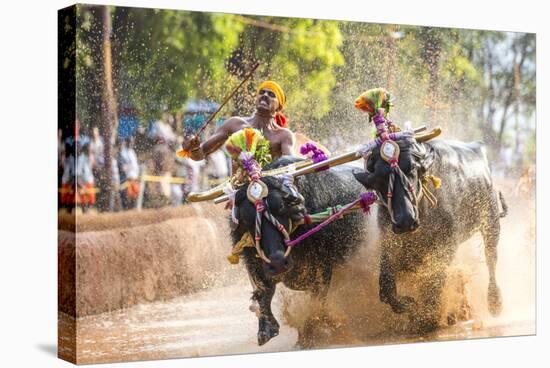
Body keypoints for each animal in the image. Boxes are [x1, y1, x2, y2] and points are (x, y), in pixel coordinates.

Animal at [232, 155, 366, 344]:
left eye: (281, 208)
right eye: (247, 219)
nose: (278, 263)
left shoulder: (323, 271)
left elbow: (316, 304)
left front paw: (308, 336)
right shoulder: (256, 264)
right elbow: (263, 293)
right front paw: (266, 329)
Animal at [354, 137, 508, 330]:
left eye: (412, 170)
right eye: (378, 178)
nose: (405, 221)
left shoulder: (446, 245)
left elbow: (434, 280)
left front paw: (428, 317)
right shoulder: (389, 243)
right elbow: (386, 286)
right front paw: (410, 306)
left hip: (491, 221)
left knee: (491, 258)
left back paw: (495, 302)